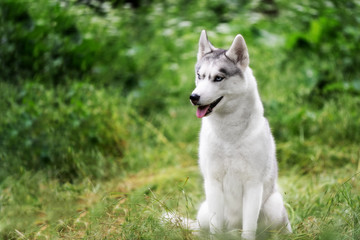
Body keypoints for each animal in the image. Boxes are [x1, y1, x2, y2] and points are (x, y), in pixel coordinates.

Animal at [187, 31, 292, 239]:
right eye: (199, 76)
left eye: (218, 78)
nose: (194, 97)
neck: (229, 135)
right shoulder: (213, 182)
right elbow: (215, 227)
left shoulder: (253, 185)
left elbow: (249, 228)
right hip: (204, 211)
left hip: (274, 206)